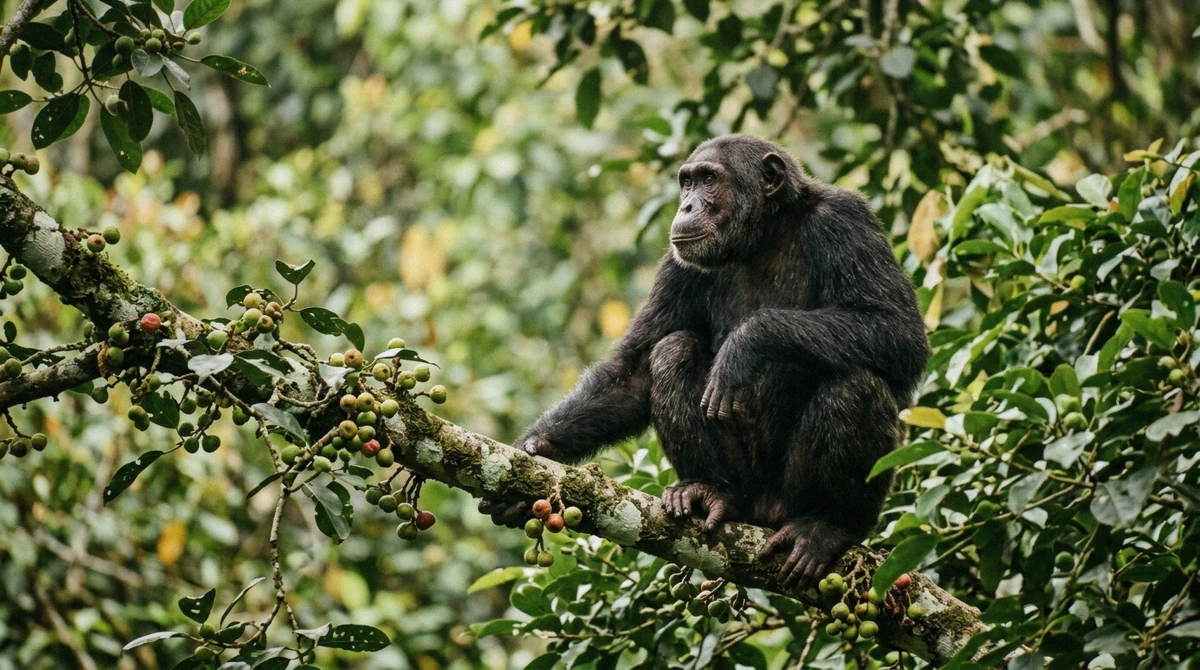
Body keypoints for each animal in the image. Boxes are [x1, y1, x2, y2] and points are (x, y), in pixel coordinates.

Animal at [480, 134, 928, 587]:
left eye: (709, 179)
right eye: (687, 182)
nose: (686, 206)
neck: (763, 235)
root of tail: (764, 511)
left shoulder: (847, 221)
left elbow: (897, 331)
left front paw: (746, 344)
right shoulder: (677, 264)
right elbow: (634, 367)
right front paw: (536, 449)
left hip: (797, 499)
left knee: (855, 384)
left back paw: (826, 525)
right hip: (745, 488)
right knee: (673, 349)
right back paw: (708, 492)